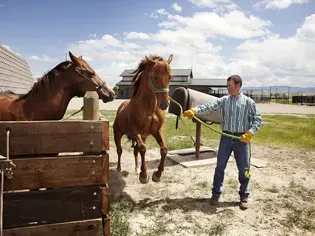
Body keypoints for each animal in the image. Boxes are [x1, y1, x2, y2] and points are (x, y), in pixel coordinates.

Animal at [113, 54, 173, 183]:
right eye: (155, 77)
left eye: (170, 76)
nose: (164, 104)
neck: (149, 108)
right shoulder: (136, 131)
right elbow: (143, 149)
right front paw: (144, 175)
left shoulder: (157, 131)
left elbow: (164, 149)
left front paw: (157, 174)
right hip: (118, 134)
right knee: (120, 150)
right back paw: (119, 168)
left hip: (143, 137)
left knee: (136, 151)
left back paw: (136, 169)